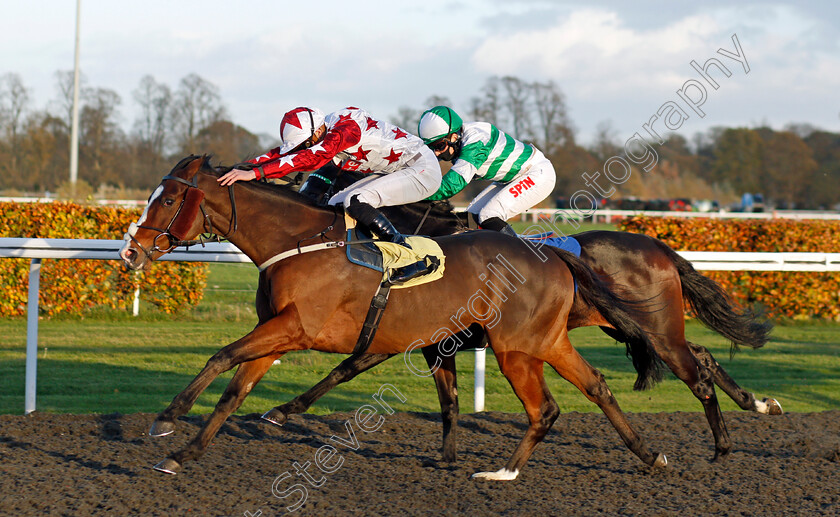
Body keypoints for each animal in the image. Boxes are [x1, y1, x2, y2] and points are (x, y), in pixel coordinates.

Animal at [120, 155, 668, 478]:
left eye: (170, 199)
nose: (130, 252)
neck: (298, 240)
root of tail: (551, 254)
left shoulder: (297, 328)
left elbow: (221, 357)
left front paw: (166, 421)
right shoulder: (281, 331)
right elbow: (235, 391)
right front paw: (184, 453)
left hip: (516, 348)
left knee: (545, 408)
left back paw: (503, 473)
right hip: (546, 341)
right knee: (595, 387)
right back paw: (650, 454)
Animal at [260, 196, 776, 462]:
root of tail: (661, 248)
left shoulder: (403, 336)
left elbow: (344, 370)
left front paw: (281, 411)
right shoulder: (420, 338)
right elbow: (363, 375)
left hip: (655, 329)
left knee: (696, 372)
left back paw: (724, 444)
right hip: (636, 328)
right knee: (704, 358)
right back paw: (756, 405)